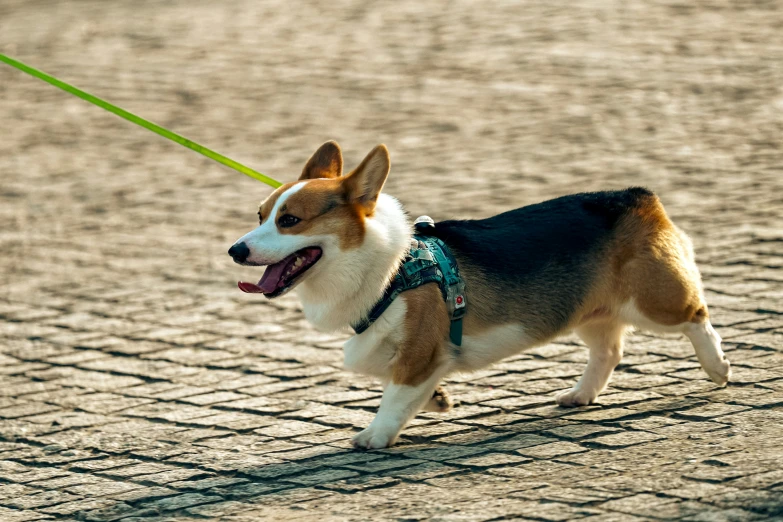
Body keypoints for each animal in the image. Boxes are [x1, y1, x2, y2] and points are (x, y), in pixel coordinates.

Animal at [230, 141, 732, 446]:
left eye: (290, 220)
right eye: (259, 215)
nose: (235, 250)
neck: (388, 269)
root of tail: (638, 197)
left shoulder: (419, 351)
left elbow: (393, 395)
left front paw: (375, 436)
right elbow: (394, 378)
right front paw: (436, 399)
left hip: (652, 303)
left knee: (696, 315)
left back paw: (718, 367)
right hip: (588, 312)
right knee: (608, 351)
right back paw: (579, 395)